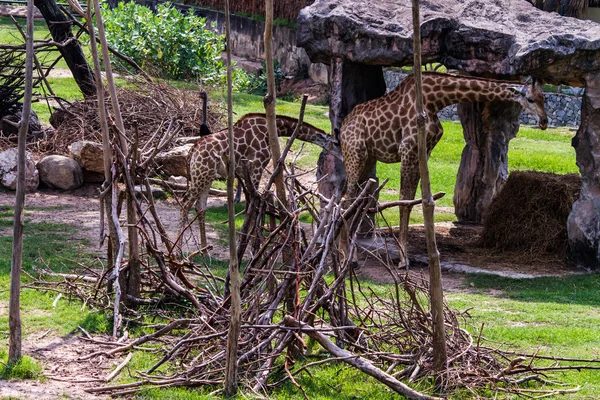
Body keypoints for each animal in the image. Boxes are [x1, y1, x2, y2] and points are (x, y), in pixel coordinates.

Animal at [179, 111, 342, 250]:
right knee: (185, 203)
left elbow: (251, 203)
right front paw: (250, 242)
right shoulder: (257, 166)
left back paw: (204, 251)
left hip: (206, 176)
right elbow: (254, 202)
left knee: (200, 207)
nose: (342, 156)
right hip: (201, 175)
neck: (270, 129)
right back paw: (179, 251)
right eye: (336, 143)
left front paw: (247, 240)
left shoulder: (246, 171)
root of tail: (191, 152)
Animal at [338, 72, 548, 266]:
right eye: (530, 99)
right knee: (347, 198)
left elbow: (417, 200)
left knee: (353, 198)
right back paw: (347, 256)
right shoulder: (407, 149)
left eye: (544, 98)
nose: (544, 121)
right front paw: (404, 259)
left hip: (368, 159)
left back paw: (350, 254)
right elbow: (404, 201)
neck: (435, 100)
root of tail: (343, 127)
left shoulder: (424, 152)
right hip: (355, 155)